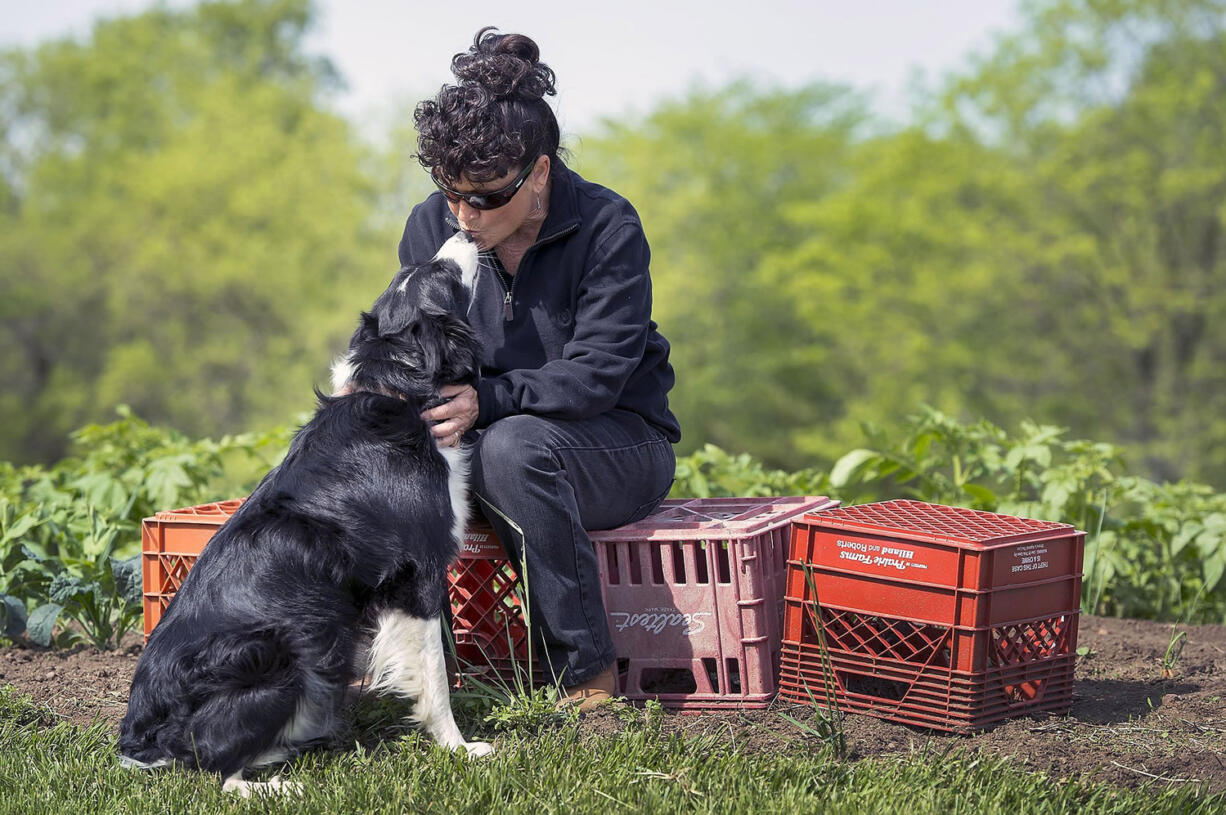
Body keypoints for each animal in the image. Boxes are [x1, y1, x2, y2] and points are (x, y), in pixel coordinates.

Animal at [119, 231, 490, 789]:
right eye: (441, 274)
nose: (465, 231)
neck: (397, 388)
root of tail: (139, 740)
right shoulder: (418, 572)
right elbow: (434, 676)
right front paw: (460, 749)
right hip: (282, 654)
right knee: (214, 768)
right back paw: (282, 785)